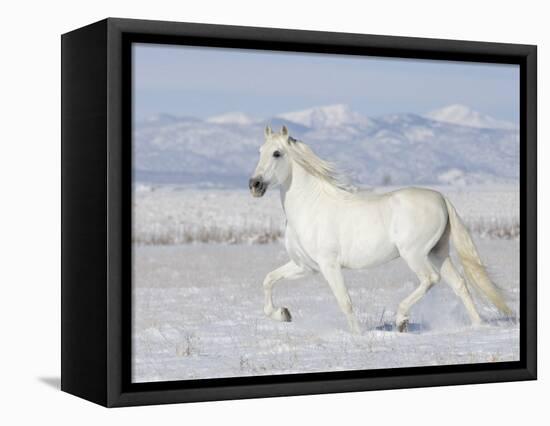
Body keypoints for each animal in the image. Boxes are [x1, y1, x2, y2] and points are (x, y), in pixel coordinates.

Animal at [250, 125, 512, 334]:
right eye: (259, 151)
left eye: (277, 153)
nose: (254, 185)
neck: (311, 206)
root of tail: (441, 198)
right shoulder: (305, 266)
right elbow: (268, 280)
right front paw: (283, 313)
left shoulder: (329, 265)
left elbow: (345, 301)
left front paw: (358, 335)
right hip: (437, 253)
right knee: (459, 284)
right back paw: (477, 326)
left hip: (414, 254)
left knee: (430, 279)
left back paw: (402, 320)